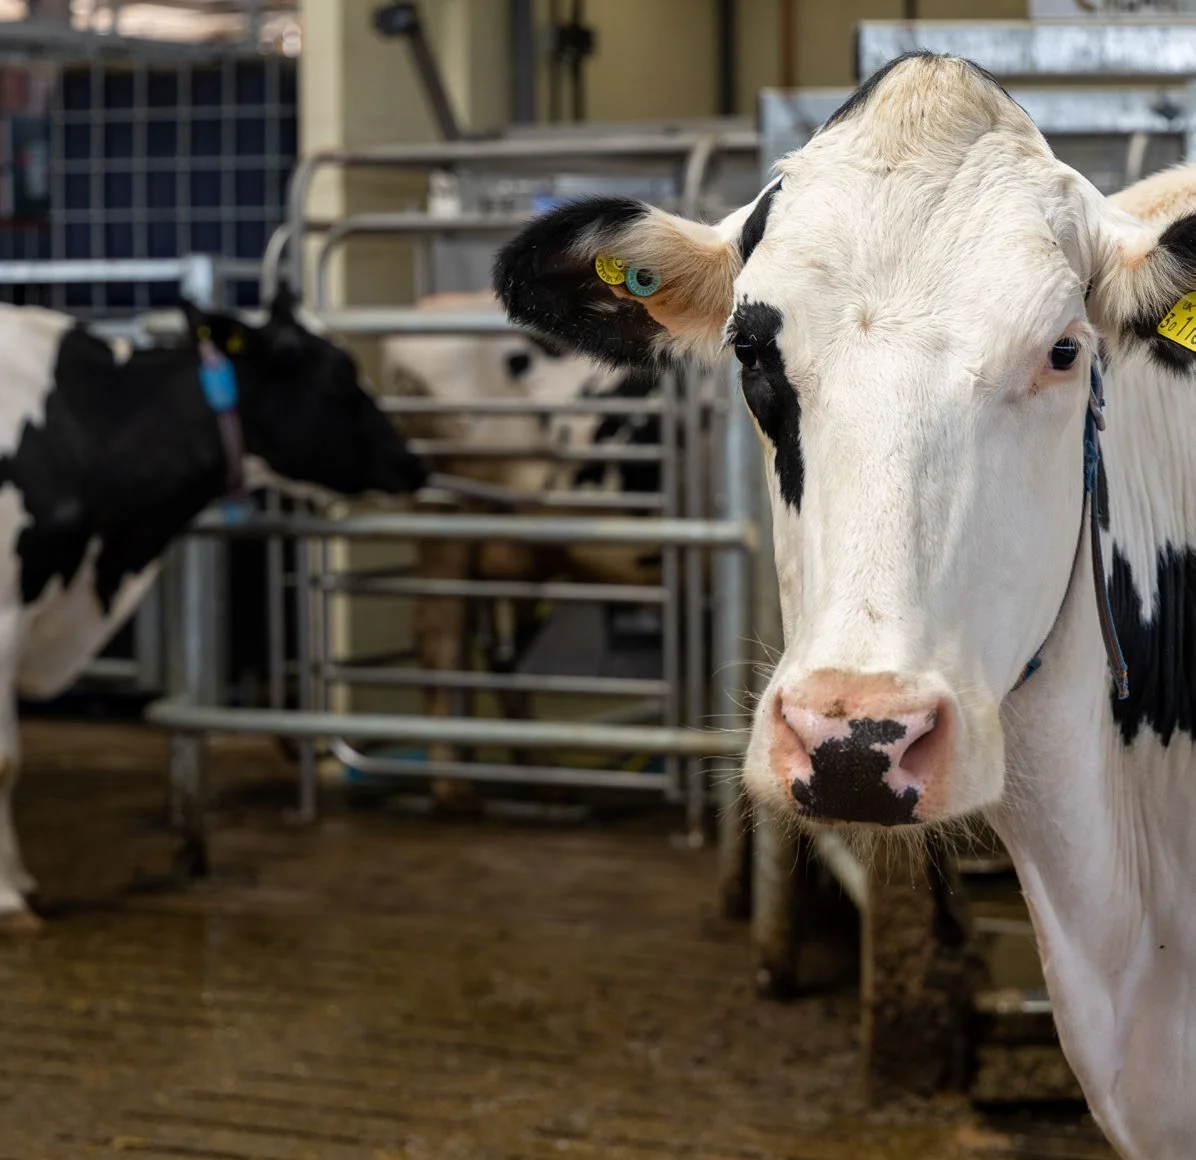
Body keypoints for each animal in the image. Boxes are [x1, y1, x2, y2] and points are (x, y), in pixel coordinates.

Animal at [0, 286, 426, 927]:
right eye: (338, 374)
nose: (414, 460)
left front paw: (22, 879)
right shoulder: (6, 614)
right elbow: (5, 759)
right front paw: (7, 898)